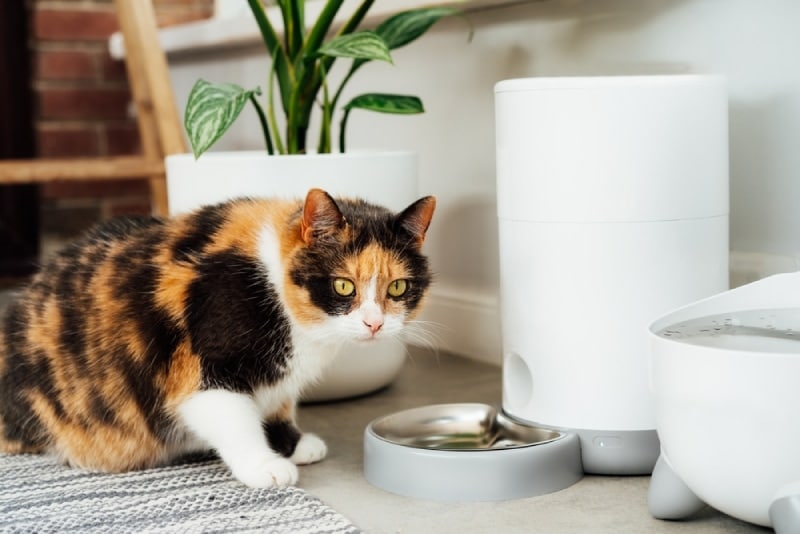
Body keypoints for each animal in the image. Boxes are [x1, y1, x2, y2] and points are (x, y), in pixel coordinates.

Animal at [0, 188, 434, 490]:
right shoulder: (203, 367)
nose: (374, 323)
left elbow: (279, 404)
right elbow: (235, 419)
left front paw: (291, 444)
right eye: (344, 285)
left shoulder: (279, 380)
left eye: (397, 287)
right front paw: (265, 465)